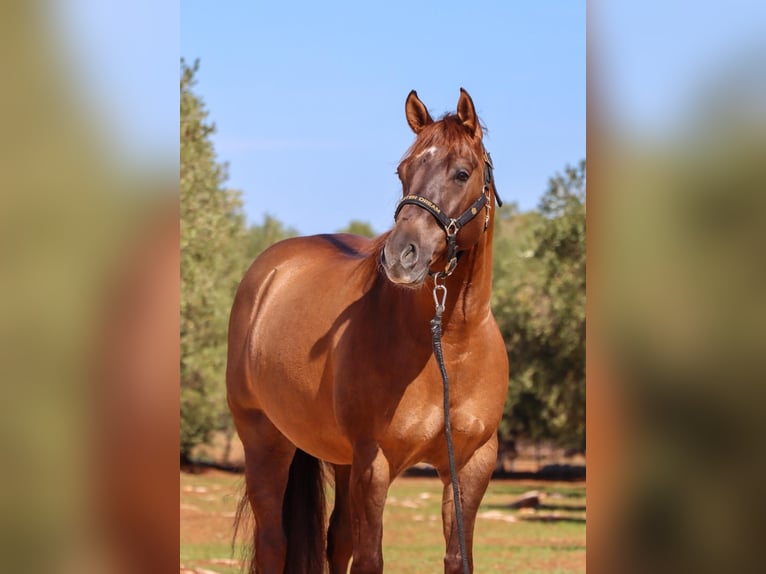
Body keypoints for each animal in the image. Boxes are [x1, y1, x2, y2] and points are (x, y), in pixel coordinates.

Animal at [226, 88, 509, 574]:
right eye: (403, 171)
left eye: (461, 172)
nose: (400, 256)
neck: (449, 345)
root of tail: (269, 273)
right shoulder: (374, 463)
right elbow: (370, 558)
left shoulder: (472, 464)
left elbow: (458, 558)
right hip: (265, 441)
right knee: (273, 542)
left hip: (340, 458)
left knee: (336, 539)